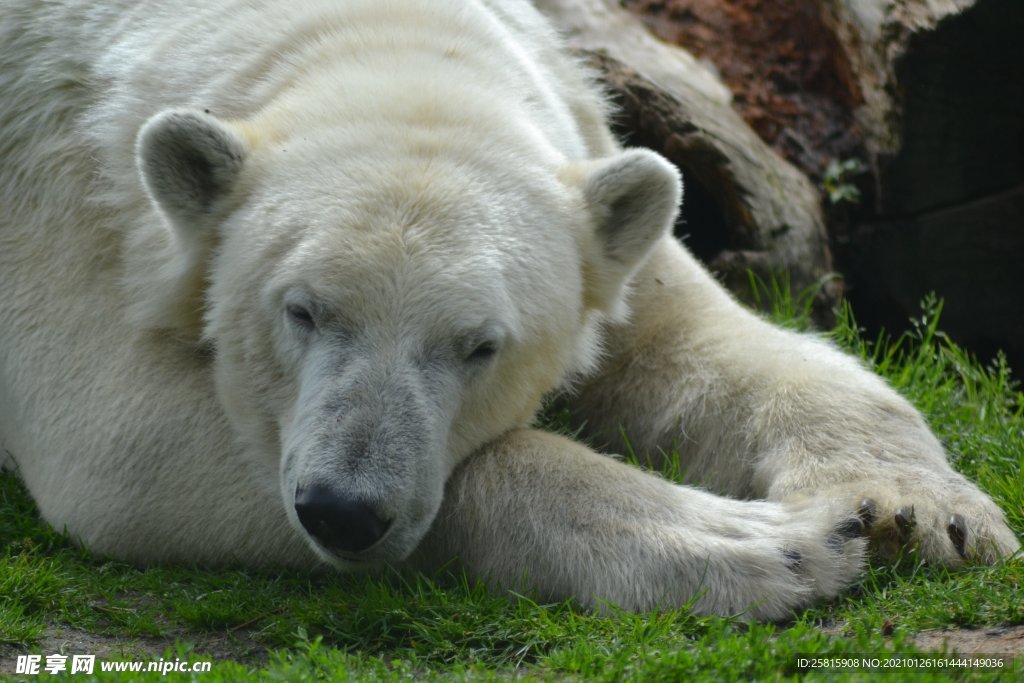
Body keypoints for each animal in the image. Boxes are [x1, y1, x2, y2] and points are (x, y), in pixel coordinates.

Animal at [0, 1, 1011, 618]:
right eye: (303, 312)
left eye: (479, 344)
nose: (343, 511)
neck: (365, 38)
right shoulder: (66, 205)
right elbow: (117, 443)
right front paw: (777, 542)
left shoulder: (592, 180)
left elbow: (697, 344)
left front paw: (916, 511)